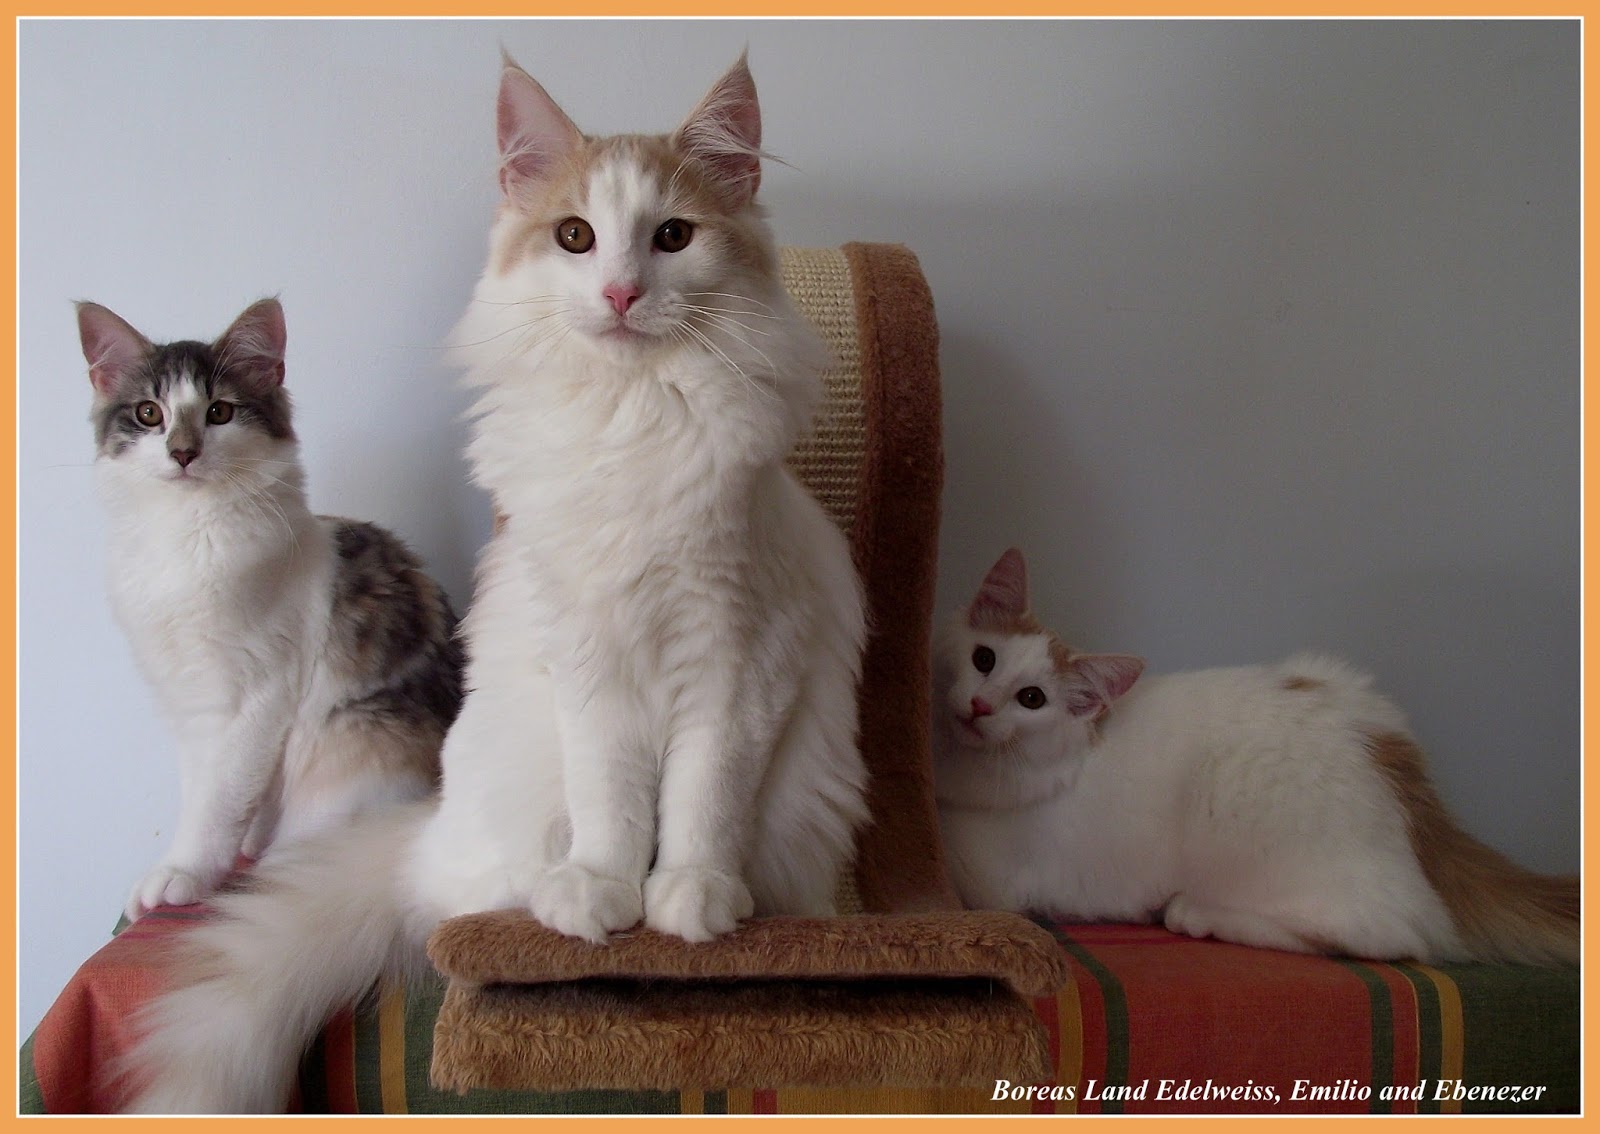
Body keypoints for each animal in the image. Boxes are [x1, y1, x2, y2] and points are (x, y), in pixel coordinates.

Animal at [78, 297, 464, 920]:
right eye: (148, 414)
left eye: (219, 412)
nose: (182, 453)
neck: (183, 536)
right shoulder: (189, 704)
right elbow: (208, 792)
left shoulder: (253, 694)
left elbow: (218, 802)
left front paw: (183, 873)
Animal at [932, 547, 1579, 966]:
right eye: (984, 659)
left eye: (1032, 699)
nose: (981, 706)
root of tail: (1397, 762)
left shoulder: (991, 876)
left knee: (1386, 937)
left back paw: (1194, 912)